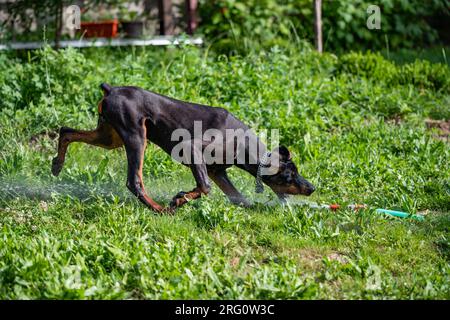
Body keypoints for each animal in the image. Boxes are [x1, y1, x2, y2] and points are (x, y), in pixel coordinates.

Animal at [51, 84, 314, 212]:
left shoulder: (218, 171)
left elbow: (239, 199)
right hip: (136, 137)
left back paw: (57, 164)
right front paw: (178, 200)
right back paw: (160, 210)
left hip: (109, 137)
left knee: (66, 131)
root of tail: (111, 89)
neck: (243, 144)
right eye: (289, 175)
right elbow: (205, 187)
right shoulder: (192, 150)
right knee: (134, 181)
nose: (311, 188)